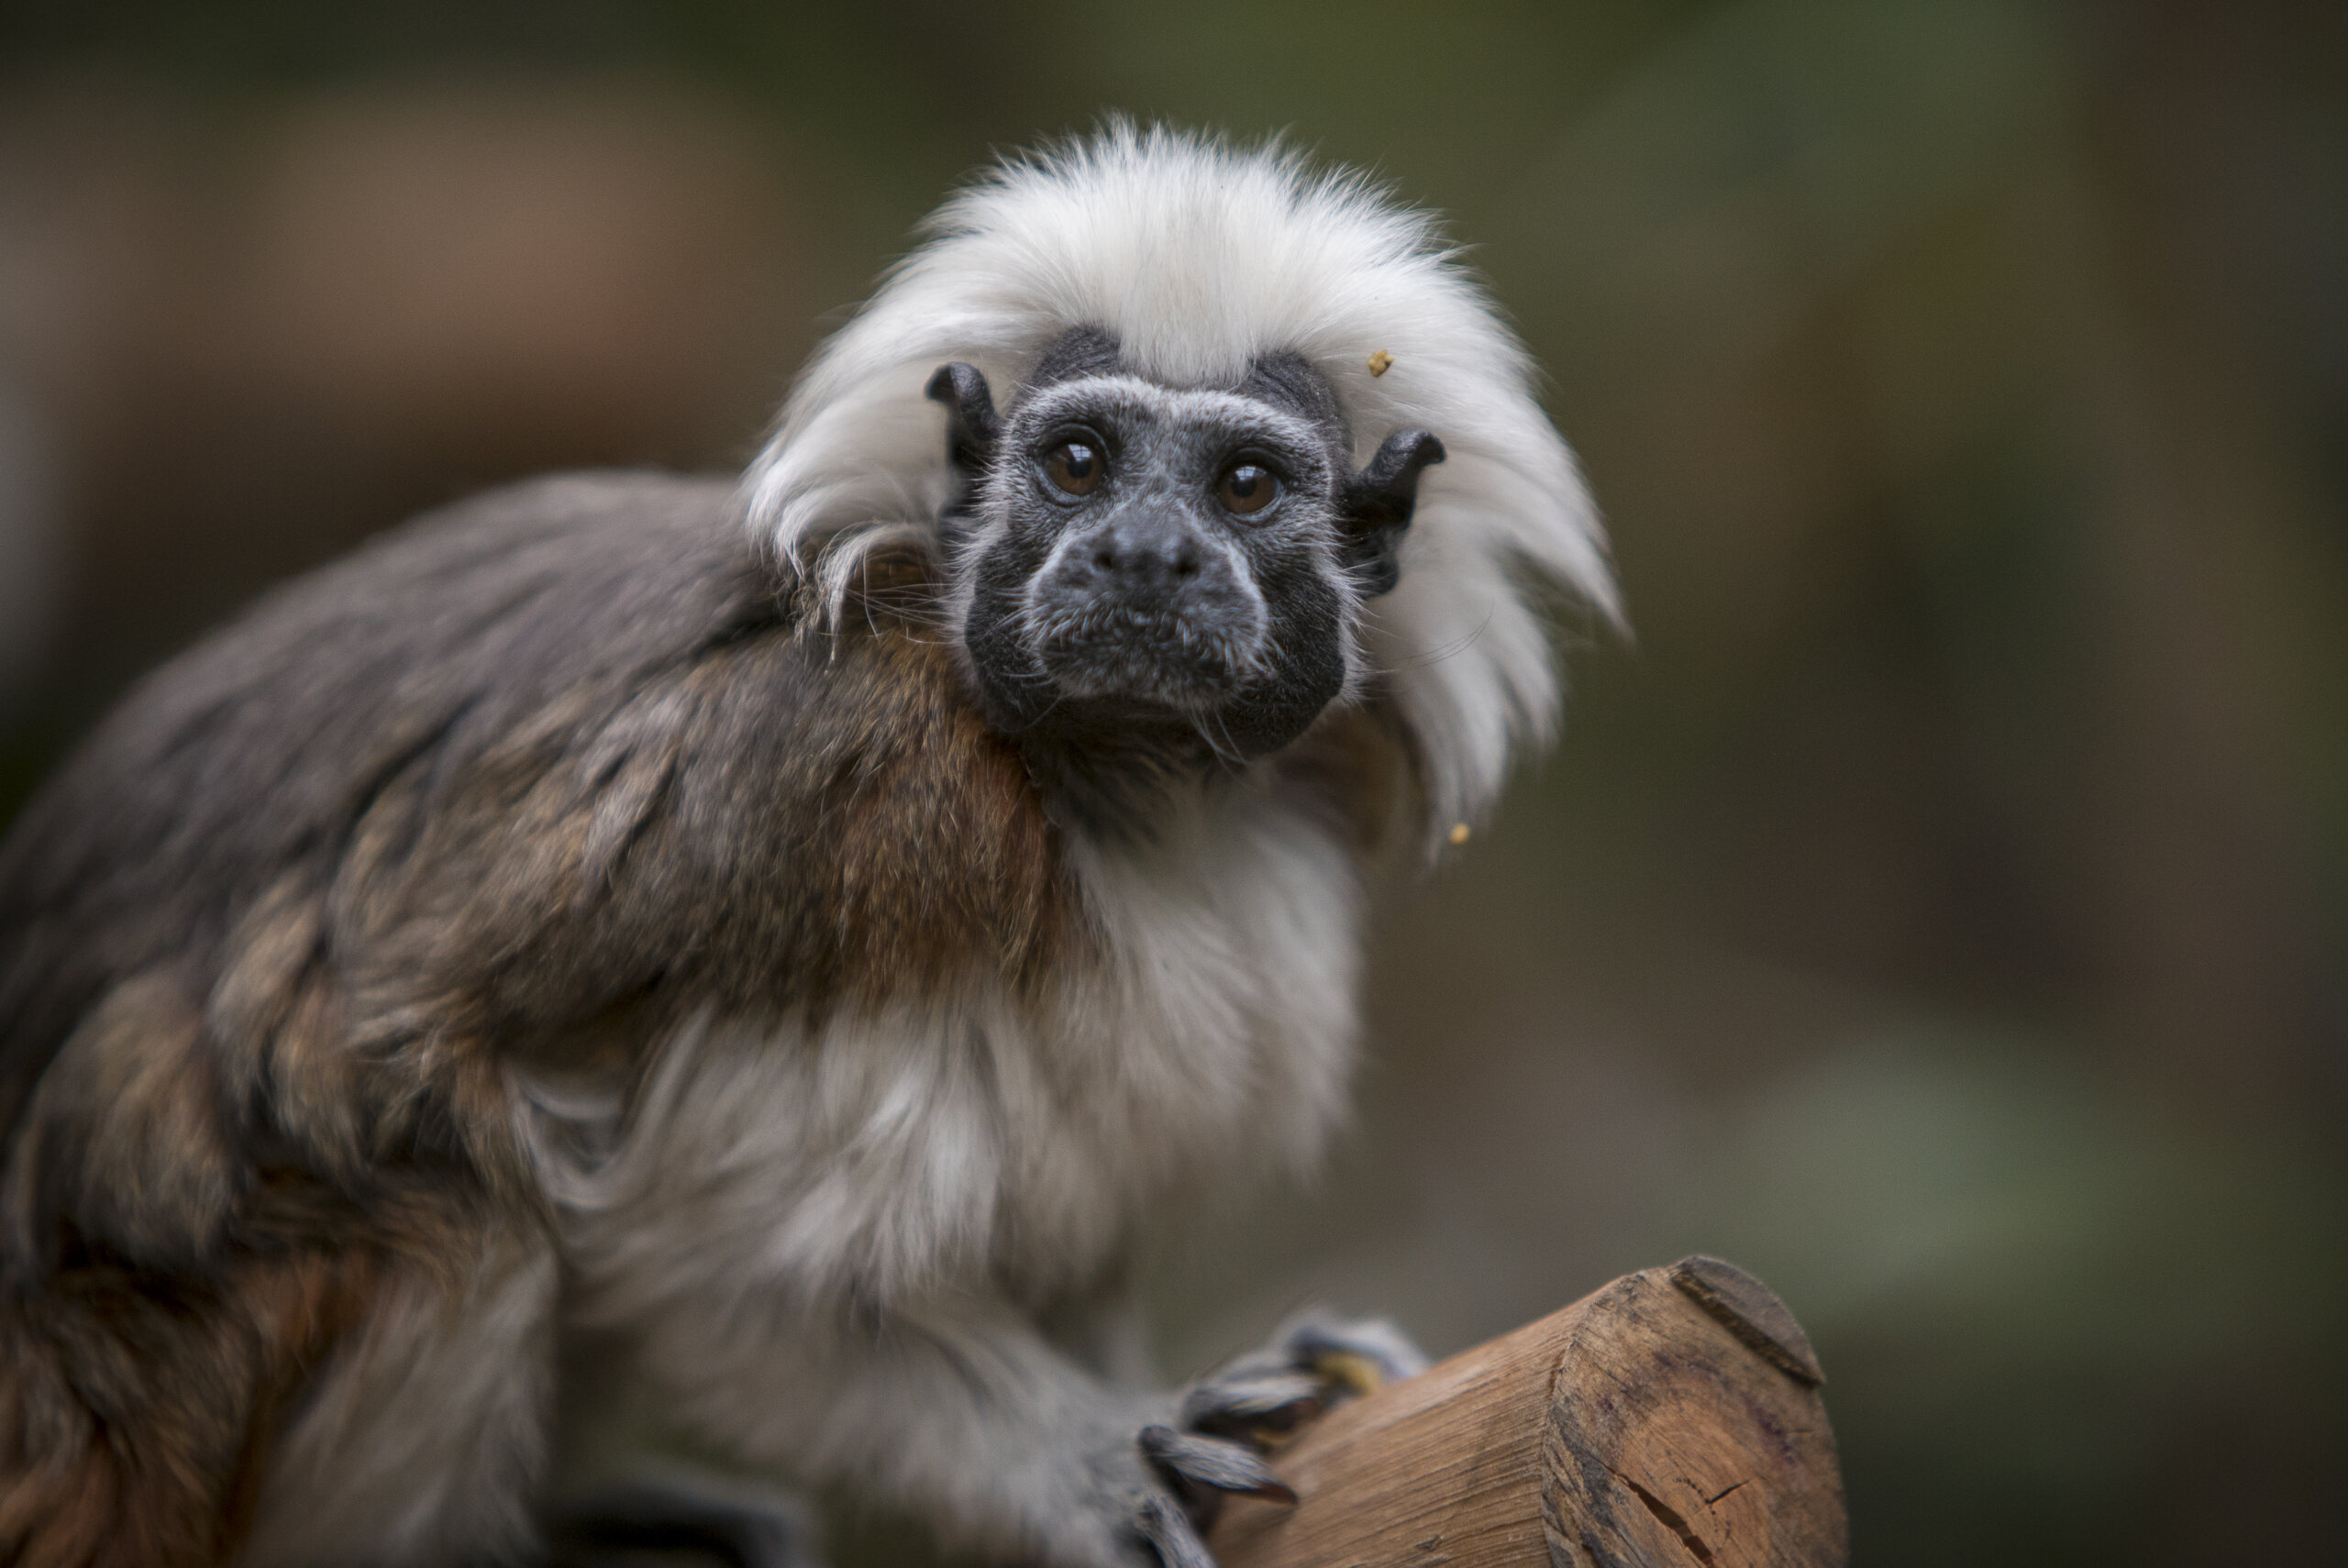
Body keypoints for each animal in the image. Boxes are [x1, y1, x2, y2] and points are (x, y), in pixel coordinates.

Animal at [0, 124, 1614, 1567]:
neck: (1125, 791)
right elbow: (710, 1268)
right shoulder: (845, 793)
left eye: (1245, 487)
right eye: (1079, 462)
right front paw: (1098, 1454)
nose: (1143, 557)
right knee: (437, 1179)